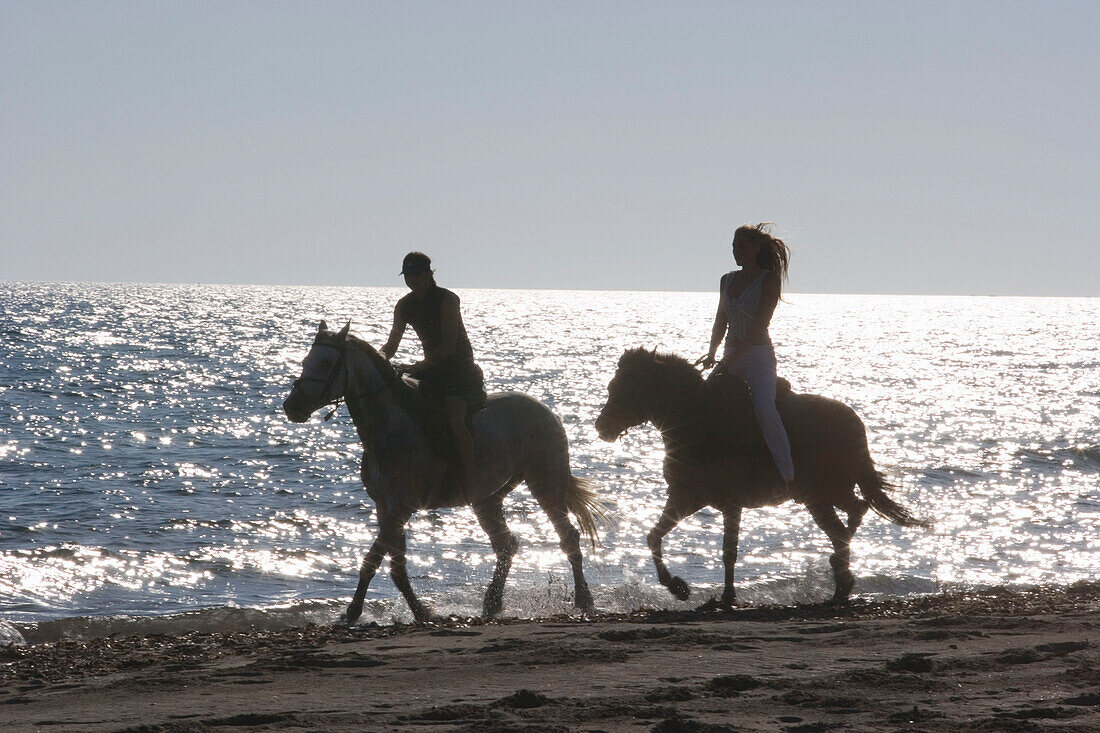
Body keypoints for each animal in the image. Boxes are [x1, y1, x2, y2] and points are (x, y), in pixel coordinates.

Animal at [279, 321, 598, 620]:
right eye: (306, 359)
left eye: (326, 363)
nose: (292, 406)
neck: (389, 426)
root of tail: (547, 411)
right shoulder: (386, 508)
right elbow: (397, 568)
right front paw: (421, 612)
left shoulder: (400, 508)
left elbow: (371, 561)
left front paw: (353, 612)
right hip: (488, 498)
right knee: (506, 545)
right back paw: (491, 603)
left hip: (546, 483)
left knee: (568, 537)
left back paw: (583, 600)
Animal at [594, 347, 928, 603]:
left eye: (619, 389)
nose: (601, 427)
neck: (696, 419)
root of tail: (855, 422)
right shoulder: (687, 497)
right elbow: (654, 535)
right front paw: (677, 586)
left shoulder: (729, 504)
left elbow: (728, 551)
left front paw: (726, 596)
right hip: (819, 497)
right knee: (848, 519)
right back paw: (840, 581)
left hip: (826, 491)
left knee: (855, 513)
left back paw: (840, 569)